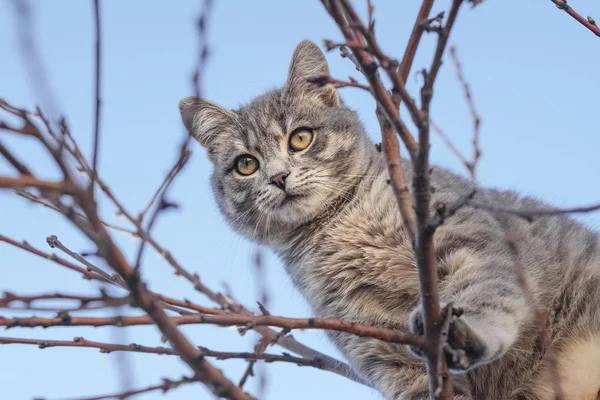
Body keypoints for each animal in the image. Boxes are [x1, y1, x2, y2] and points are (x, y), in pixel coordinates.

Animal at [180, 41, 600, 400]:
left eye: (300, 139)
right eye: (246, 165)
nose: (278, 177)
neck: (344, 227)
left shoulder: (475, 245)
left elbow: (484, 292)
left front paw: (463, 333)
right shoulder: (376, 345)